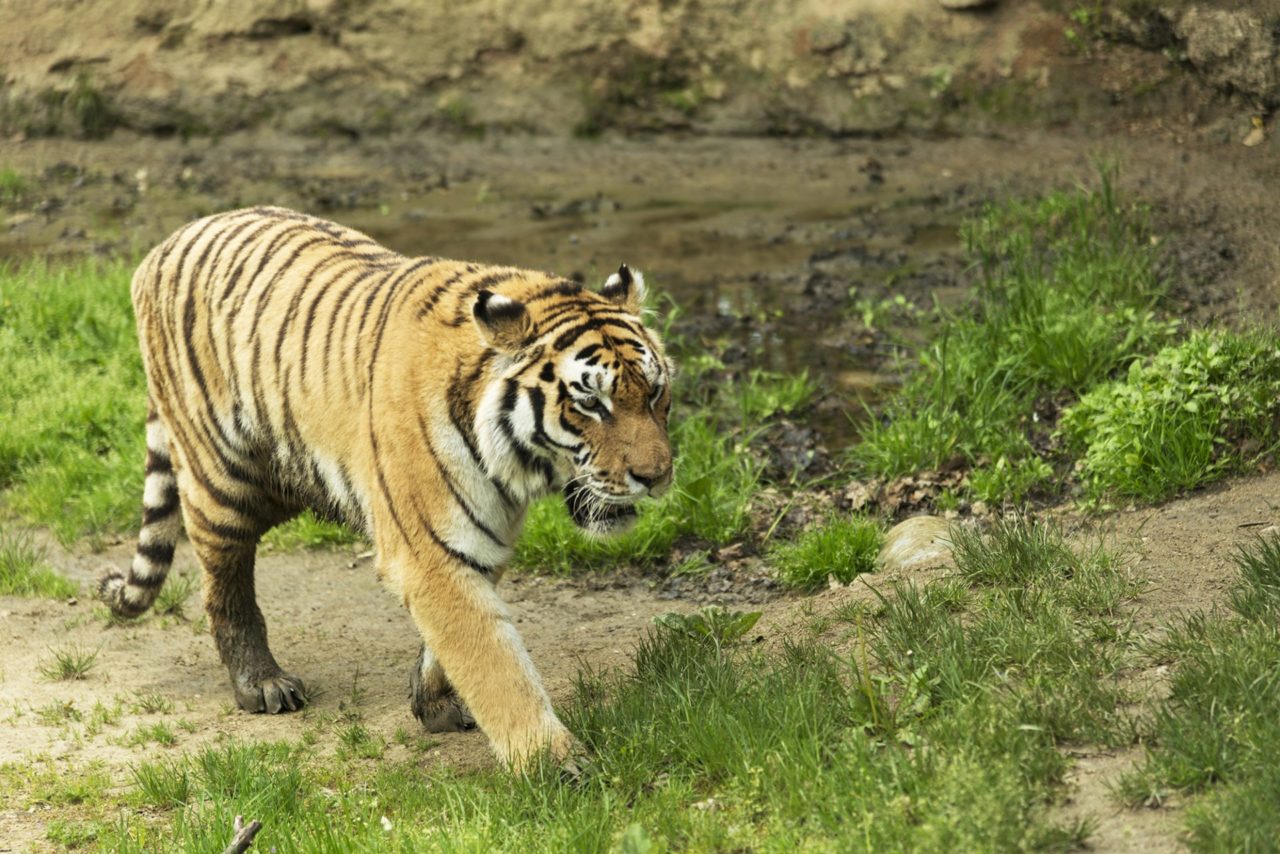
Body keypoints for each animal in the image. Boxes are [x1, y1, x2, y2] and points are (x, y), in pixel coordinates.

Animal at [94, 207, 675, 768]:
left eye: (654, 393)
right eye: (590, 403)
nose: (657, 477)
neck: (513, 465)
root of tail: (168, 242)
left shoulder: (479, 540)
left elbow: (459, 640)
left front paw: (433, 701)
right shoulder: (428, 553)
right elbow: (496, 664)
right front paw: (553, 764)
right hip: (222, 480)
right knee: (223, 584)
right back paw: (262, 683)